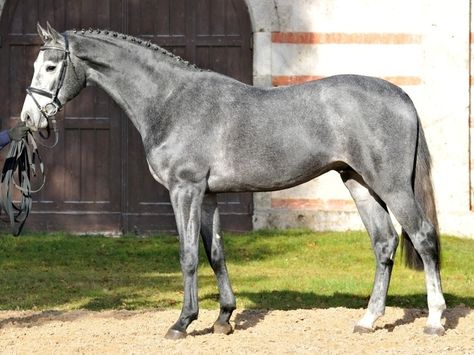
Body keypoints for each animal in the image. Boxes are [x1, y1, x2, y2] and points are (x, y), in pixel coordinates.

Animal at [20, 23, 446, 340]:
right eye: (37, 63)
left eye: (52, 66)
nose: (29, 118)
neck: (171, 100)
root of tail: (401, 95)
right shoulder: (208, 196)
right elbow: (216, 253)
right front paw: (223, 318)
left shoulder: (185, 190)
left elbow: (189, 254)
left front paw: (182, 322)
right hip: (359, 182)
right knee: (384, 243)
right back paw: (367, 320)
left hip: (391, 185)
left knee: (423, 237)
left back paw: (434, 321)